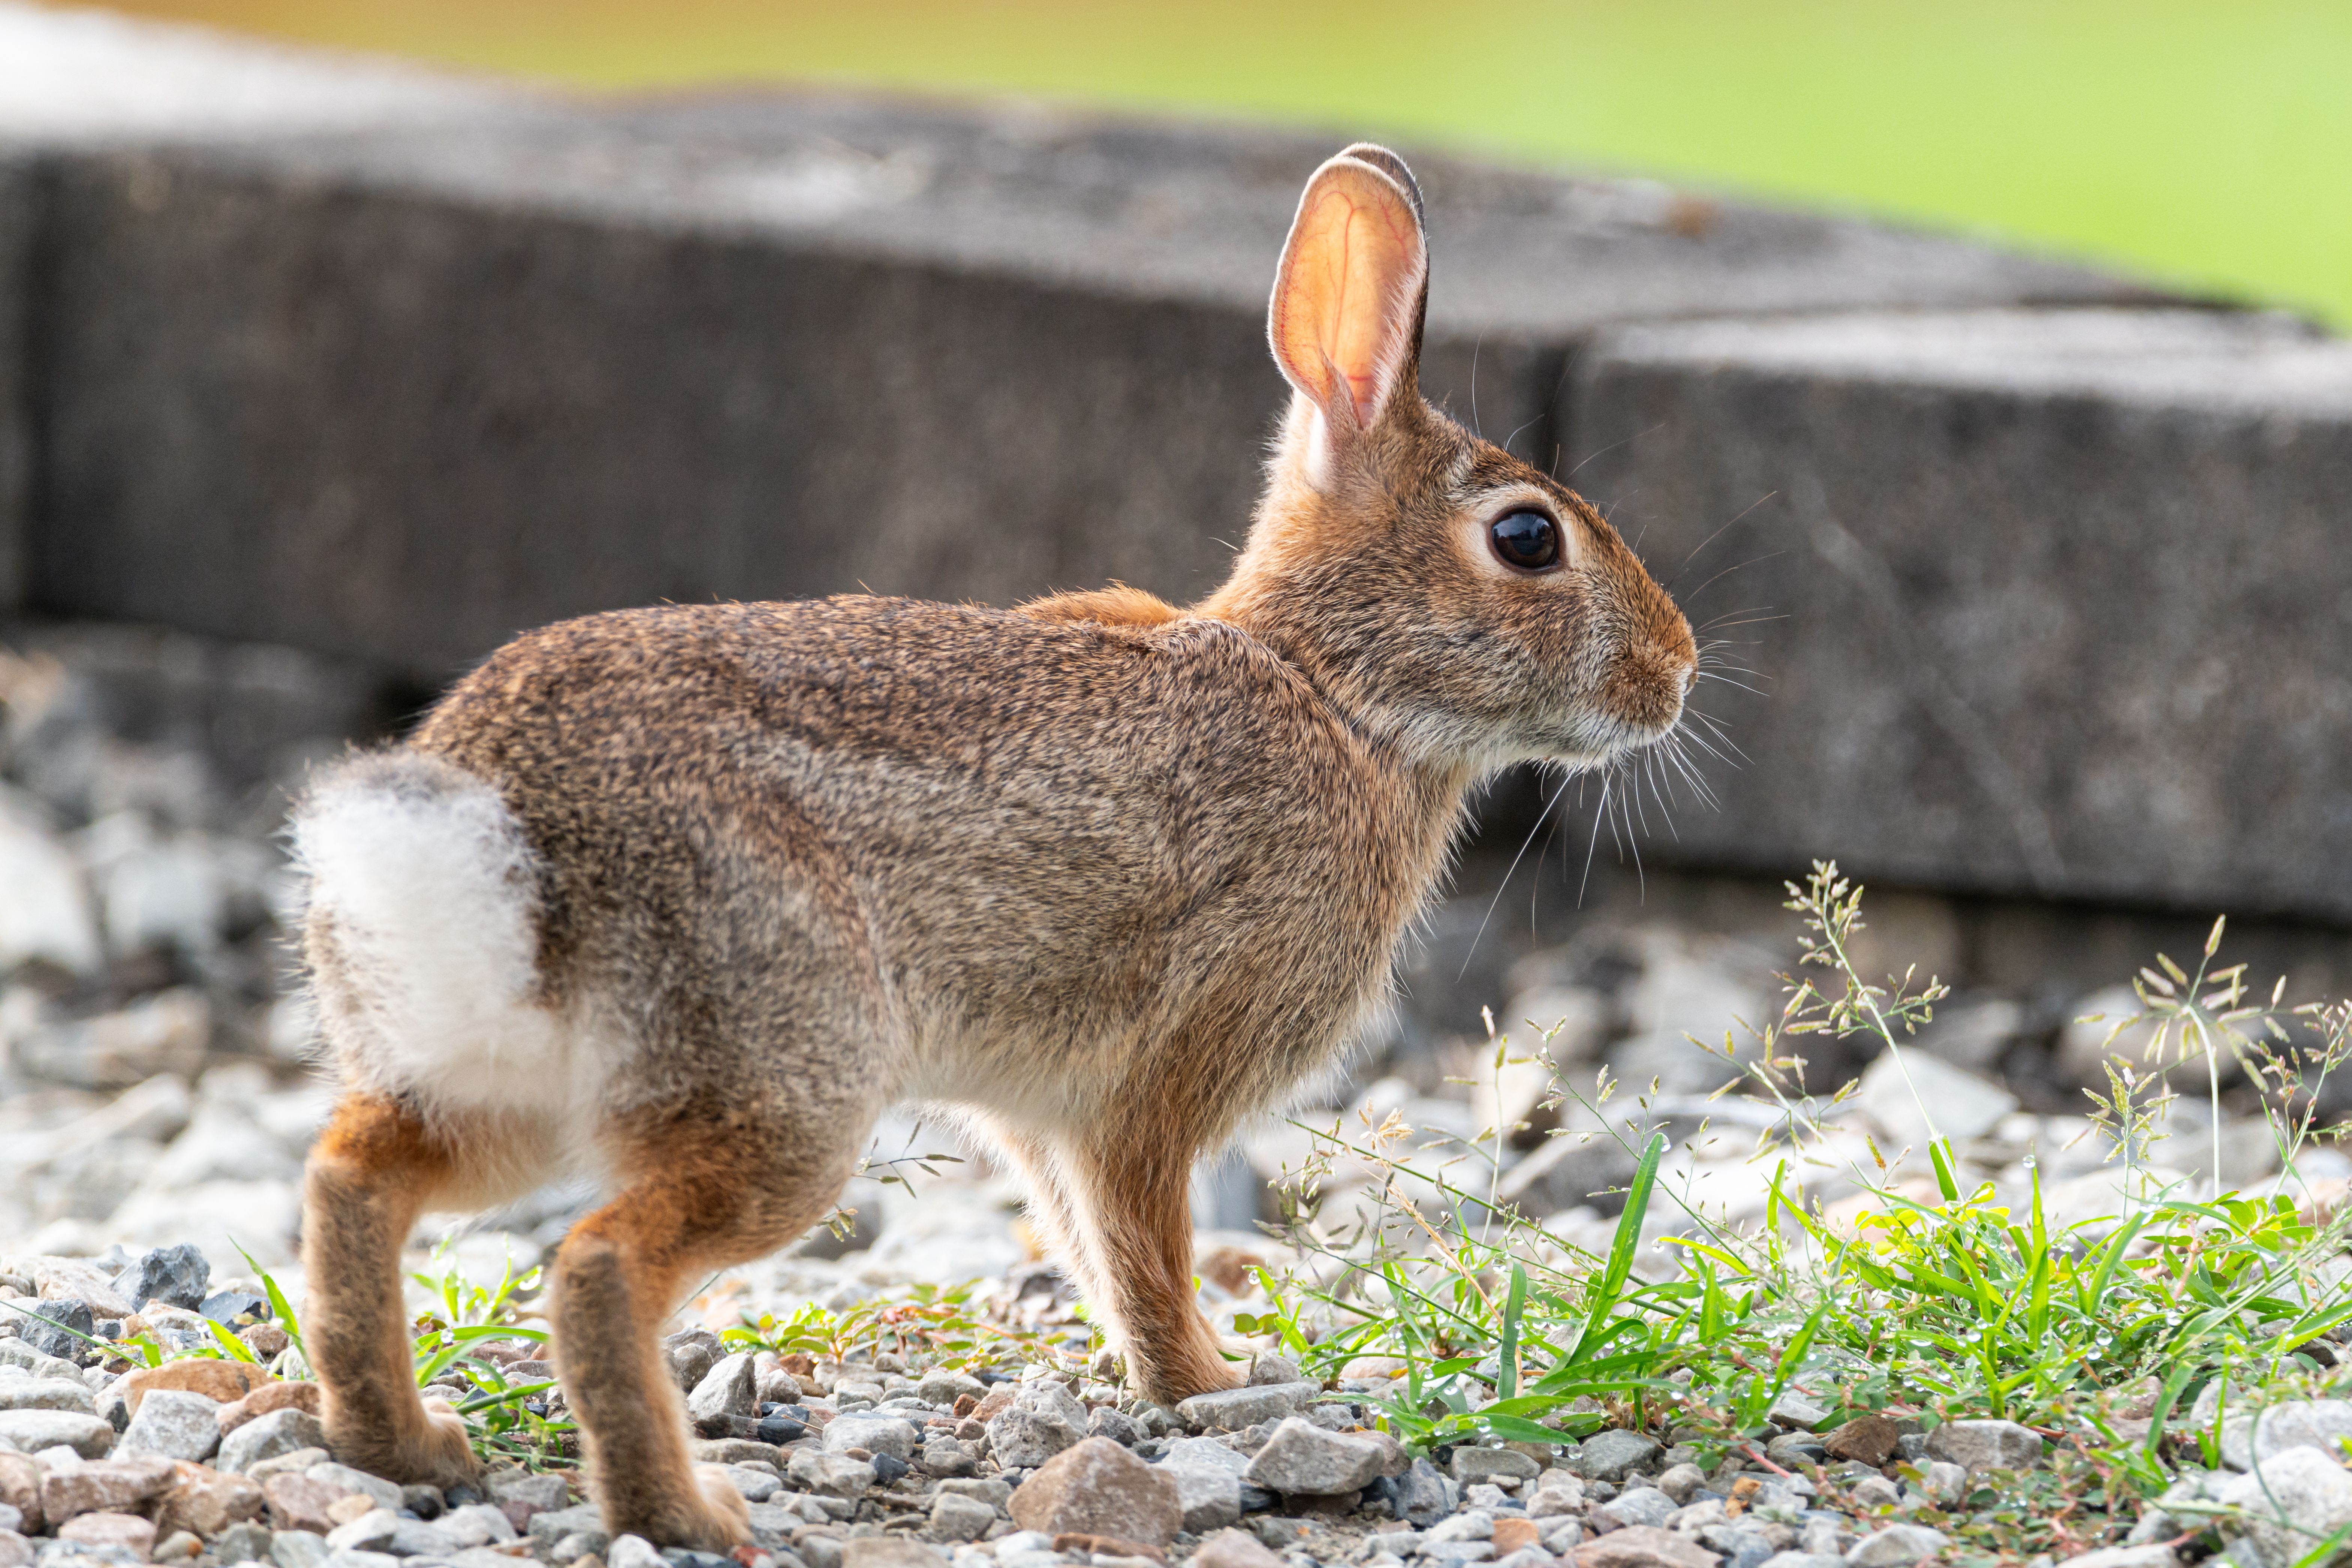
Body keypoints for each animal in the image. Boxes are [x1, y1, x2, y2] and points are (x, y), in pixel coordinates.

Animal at [291, 142, 1697, 1549]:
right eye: (1527, 537)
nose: (1674, 672)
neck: (1335, 688)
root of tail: (489, 824)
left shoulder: (1039, 1112)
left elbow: (1084, 1245)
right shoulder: (1158, 1079)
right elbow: (1142, 1247)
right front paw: (1214, 1383)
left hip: (499, 1081)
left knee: (353, 1177)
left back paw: (406, 1443)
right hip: (776, 1074)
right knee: (596, 1264)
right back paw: (687, 1511)